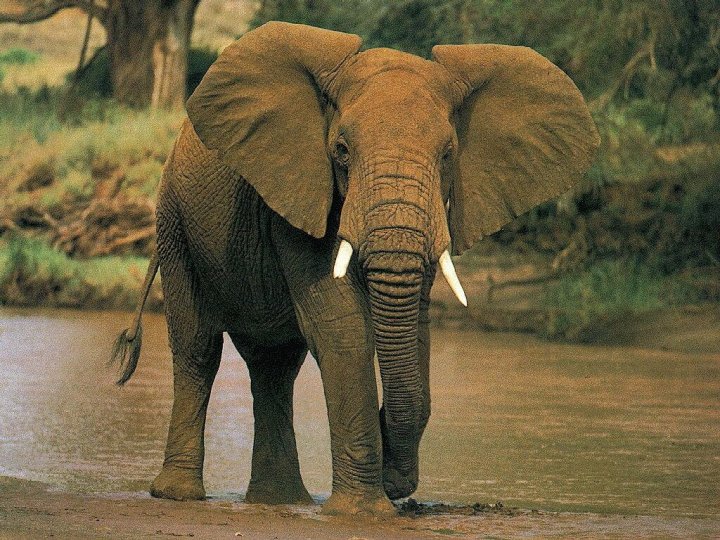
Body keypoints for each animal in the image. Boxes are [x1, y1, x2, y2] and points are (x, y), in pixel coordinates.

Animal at [111, 21, 599, 515]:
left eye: (448, 154)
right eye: (341, 151)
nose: (398, 482)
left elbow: (414, 326)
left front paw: (386, 483)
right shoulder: (302, 187)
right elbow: (343, 327)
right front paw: (363, 511)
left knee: (274, 367)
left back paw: (280, 502)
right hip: (174, 223)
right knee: (199, 348)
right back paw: (180, 494)